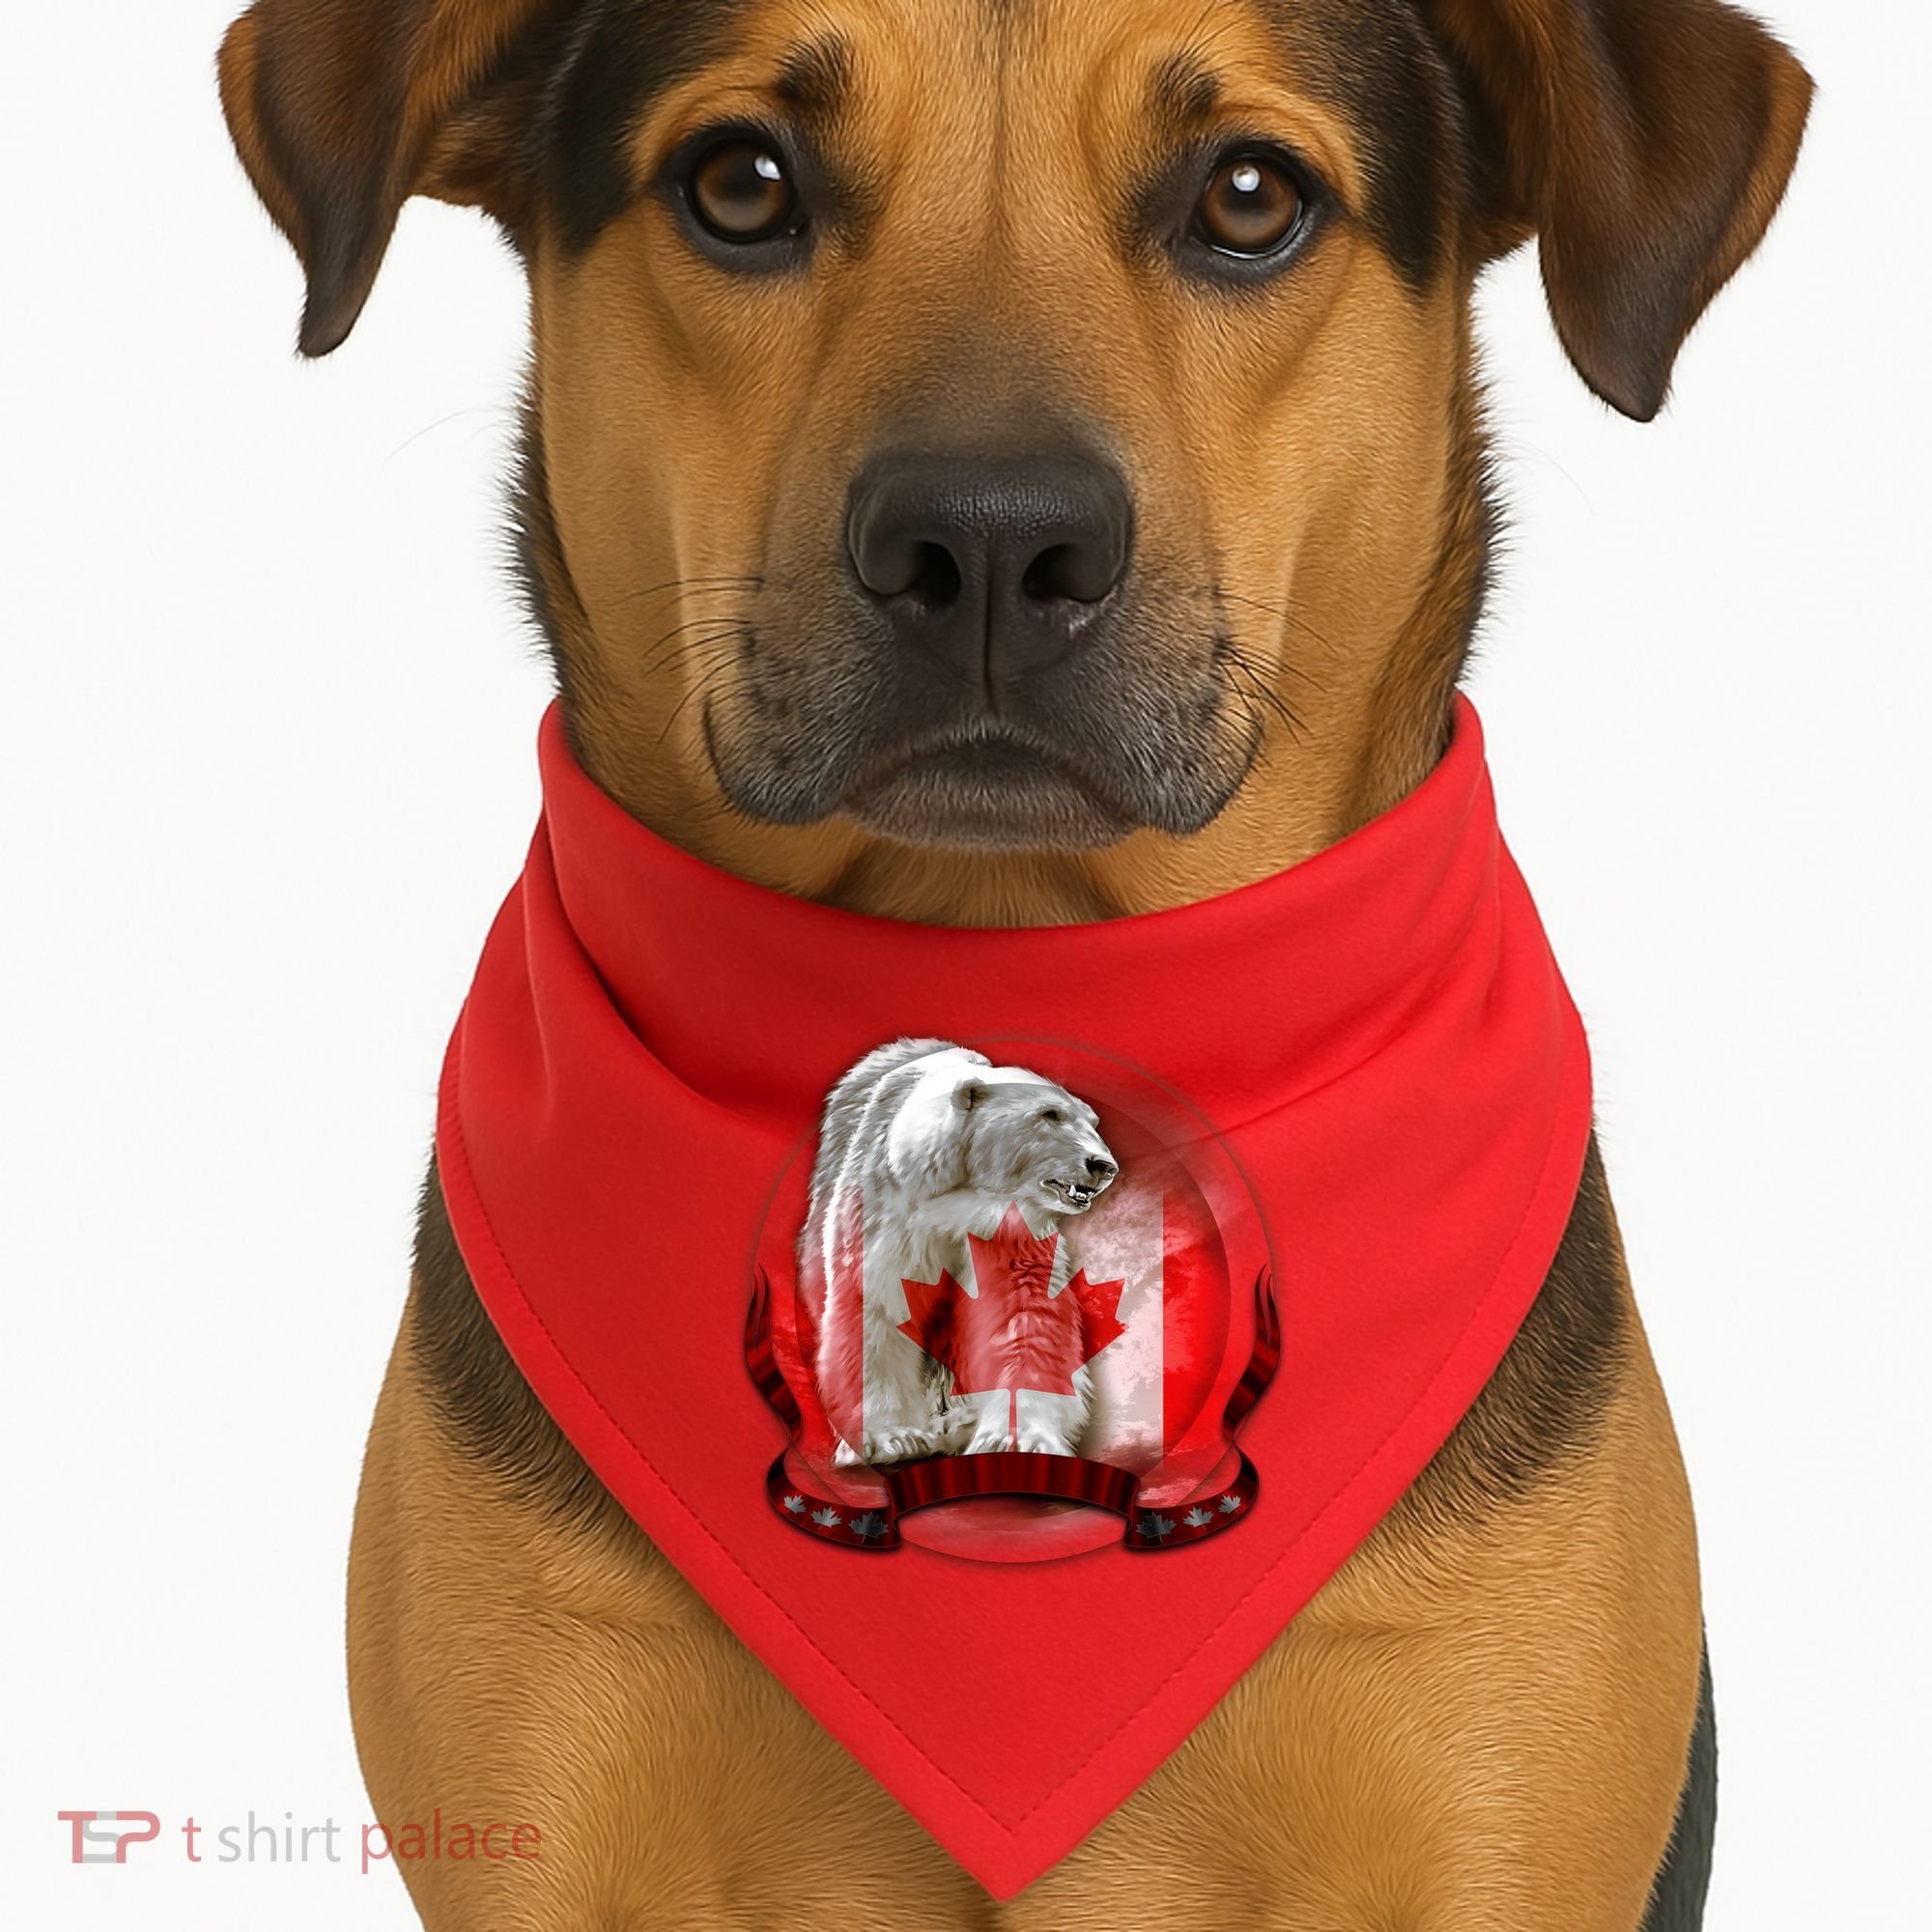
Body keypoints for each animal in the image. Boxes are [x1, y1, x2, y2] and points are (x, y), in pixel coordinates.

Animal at [803, 1039, 1120, 1467]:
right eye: (1049, 1114)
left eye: (1092, 1122)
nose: (1103, 1165)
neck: (959, 1199)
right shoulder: (889, 1210)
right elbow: (876, 1310)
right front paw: (891, 1438)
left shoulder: (1009, 1231)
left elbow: (1023, 1319)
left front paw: (1014, 1437)